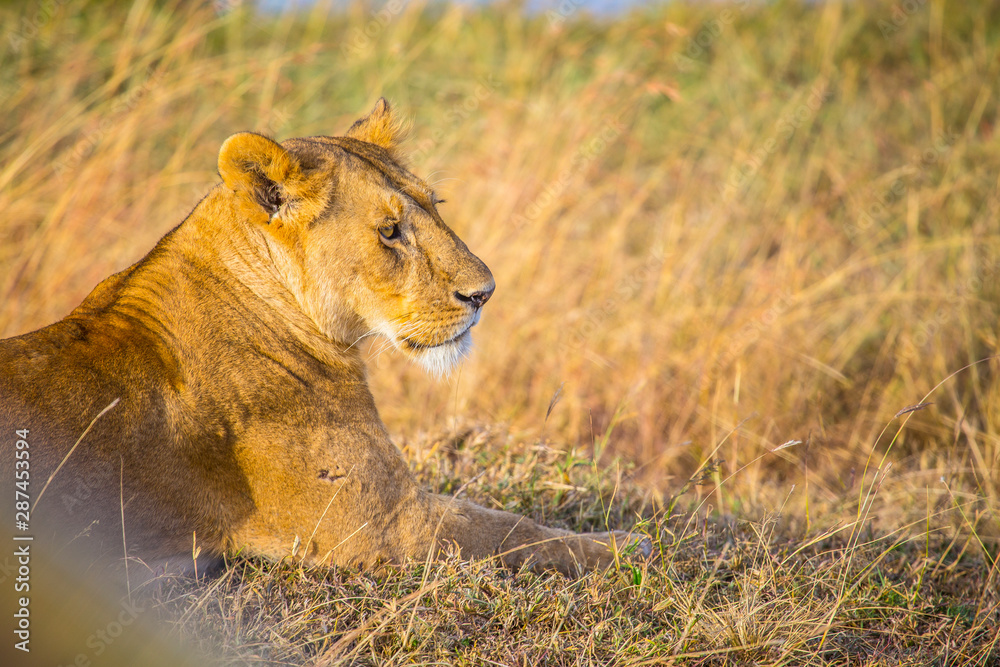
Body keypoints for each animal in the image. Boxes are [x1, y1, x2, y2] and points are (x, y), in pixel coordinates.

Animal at [0, 99, 646, 580]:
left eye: (434, 205)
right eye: (390, 231)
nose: (484, 294)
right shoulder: (384, 527)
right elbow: (514, 531)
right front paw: (626, 544)